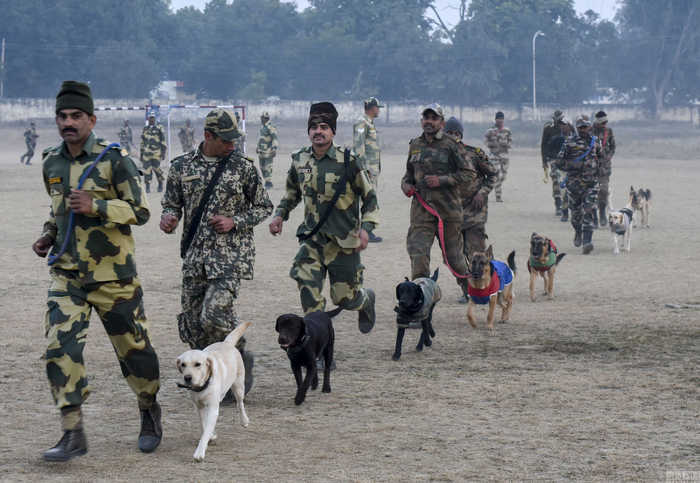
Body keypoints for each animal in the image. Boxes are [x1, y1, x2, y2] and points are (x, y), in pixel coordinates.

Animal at [176, 322, 250, 462]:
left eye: (198, 364)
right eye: (183, 364)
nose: (187, 378)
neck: (202, 387)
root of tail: (226, 343)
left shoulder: (213, 408)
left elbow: (206, 431)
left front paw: (199, 452)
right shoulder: (199, 407)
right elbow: (204, 425)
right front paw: (211, 435)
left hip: (238, 387)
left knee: (240, 404)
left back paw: (244, 420)